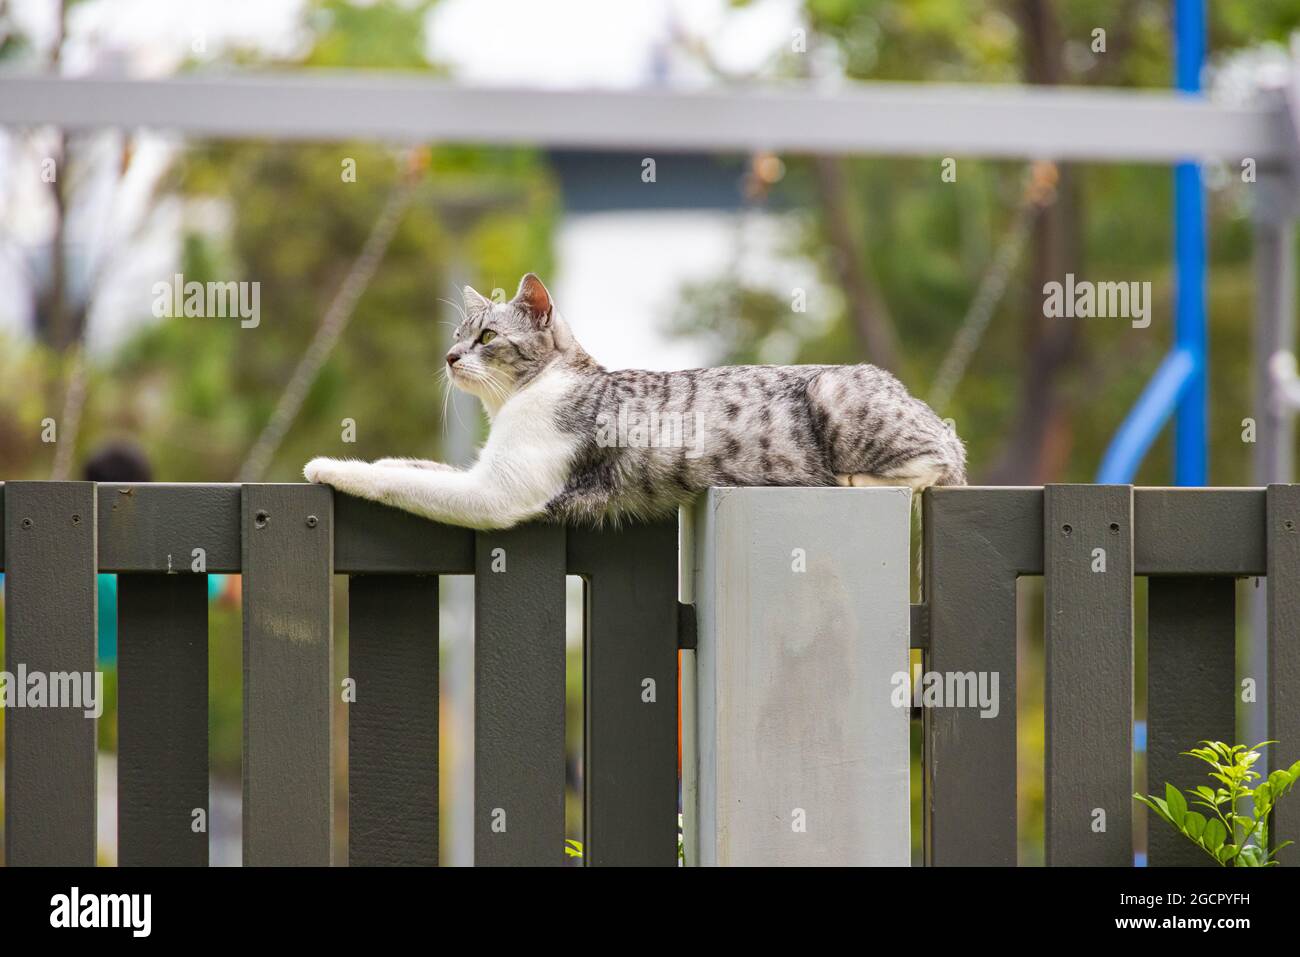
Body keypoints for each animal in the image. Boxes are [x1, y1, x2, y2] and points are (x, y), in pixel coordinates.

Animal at [299, 273, 961, 527]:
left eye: (486, 338)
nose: (450, 357)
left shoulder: (497, 494)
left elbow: (401, 481)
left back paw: (853, 480)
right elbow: (407, 466)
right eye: (459, 335)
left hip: (839, 394)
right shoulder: (478, 472)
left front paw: (326, 466)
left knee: (940, 465)